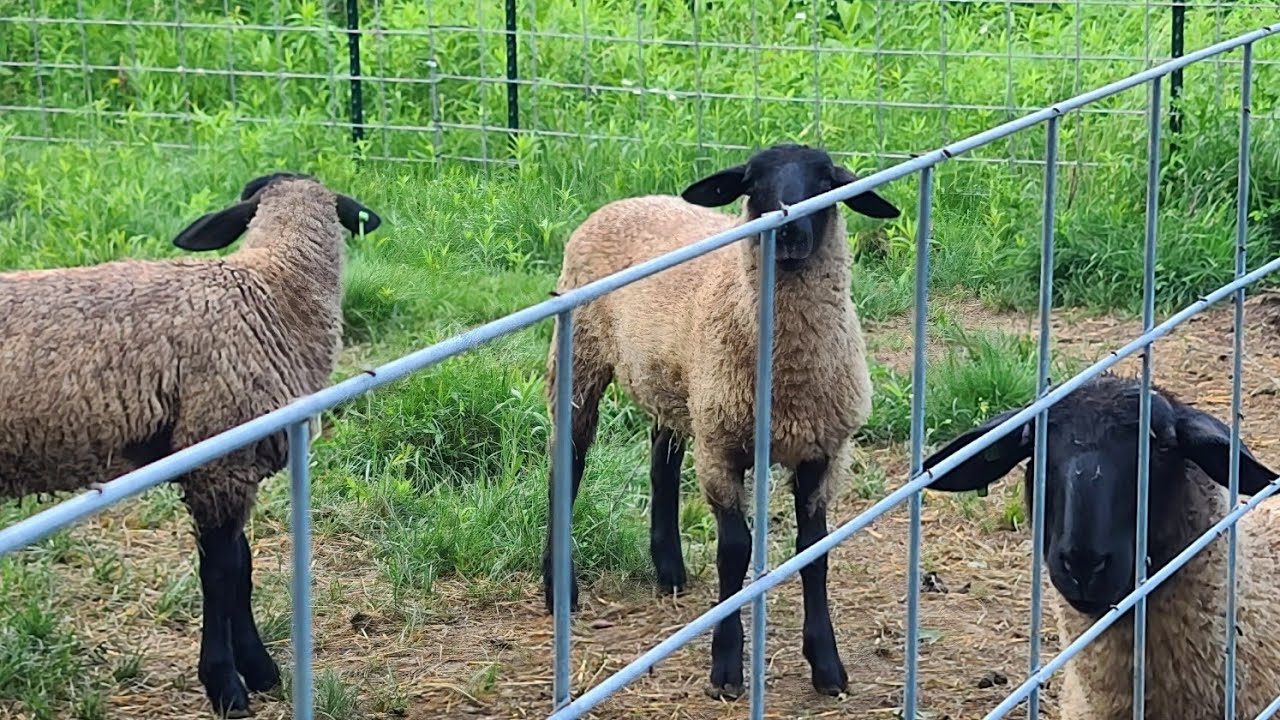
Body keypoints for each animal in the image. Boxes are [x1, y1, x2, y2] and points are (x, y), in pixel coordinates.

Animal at [0, 172, 381, 718]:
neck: (273, 292)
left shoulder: (232, 463)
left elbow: (243, 566)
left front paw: (259, 670)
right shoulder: (217, 456)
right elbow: (221, 573)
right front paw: (226, 683)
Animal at [539, 143, 902, 699]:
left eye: (825, 179)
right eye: (753, 181)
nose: (788, 230)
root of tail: (622, 202)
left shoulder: (822, 452)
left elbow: (813, 551)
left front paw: (826, 664)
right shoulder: (721, 448)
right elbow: (735, 550)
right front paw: (726, 665)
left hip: (676, 387)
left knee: (661, 465)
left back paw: (668, 568)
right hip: (580, 357)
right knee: (568, 466)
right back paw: (559, 587)